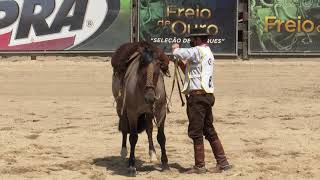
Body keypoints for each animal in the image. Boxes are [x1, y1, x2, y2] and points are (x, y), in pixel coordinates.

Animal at [112, 41, 171, 176]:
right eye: (141, 71)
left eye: (157, 71)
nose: (150, 97)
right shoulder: (132, 113)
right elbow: (133, 137)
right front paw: (131, 166)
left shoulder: (160, 111)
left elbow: (161, 136)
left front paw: (165, 163)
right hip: (120, 107)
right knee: (124, 128)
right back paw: (123, 152)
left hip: (148, 113)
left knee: (149, 129)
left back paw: (152, 153)